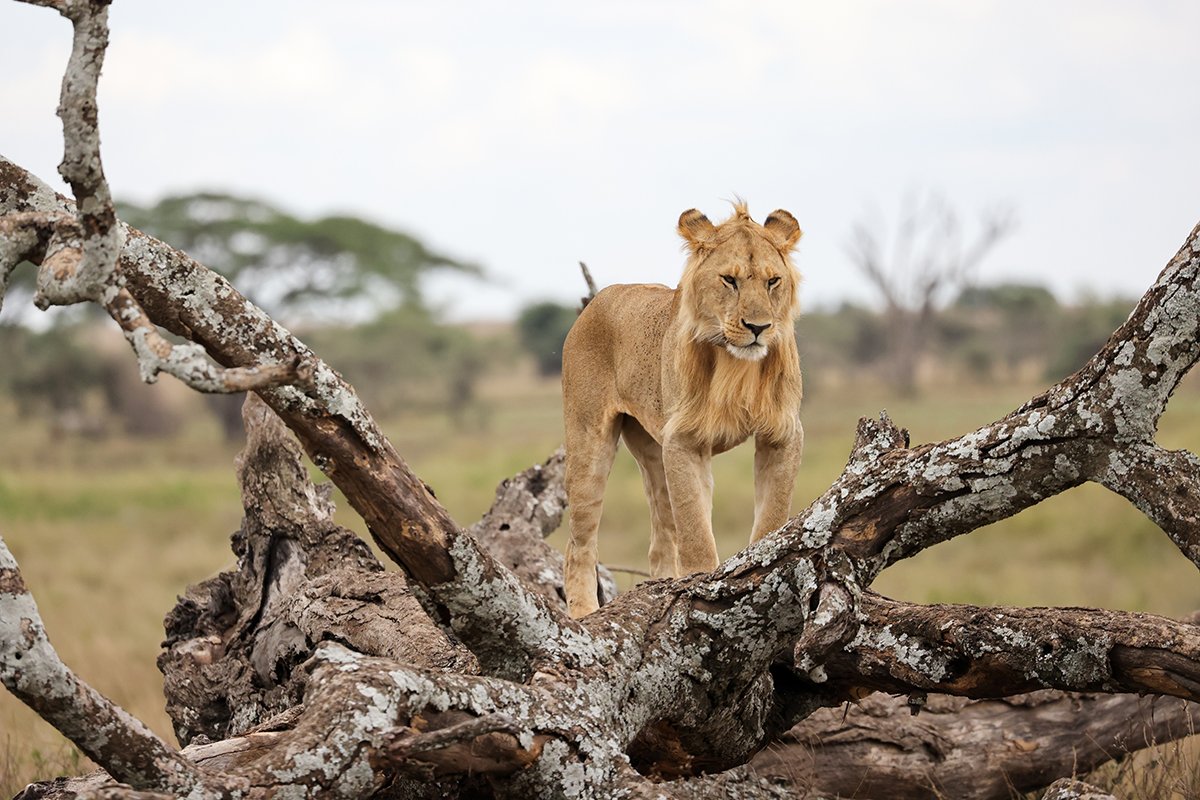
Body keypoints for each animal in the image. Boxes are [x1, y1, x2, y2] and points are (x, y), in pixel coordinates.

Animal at [561, 203, 805, 618]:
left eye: (773, 281)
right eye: (729, 280)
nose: (758, 327)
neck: (736, 367)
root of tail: (599, 298)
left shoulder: (783, 433)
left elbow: (772, 515)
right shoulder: (685, 440)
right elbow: (695, 529)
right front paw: (701, 589)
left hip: (653, 451)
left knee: (660, 539)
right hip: (588, 441)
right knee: (579, 544)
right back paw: (583, 615)